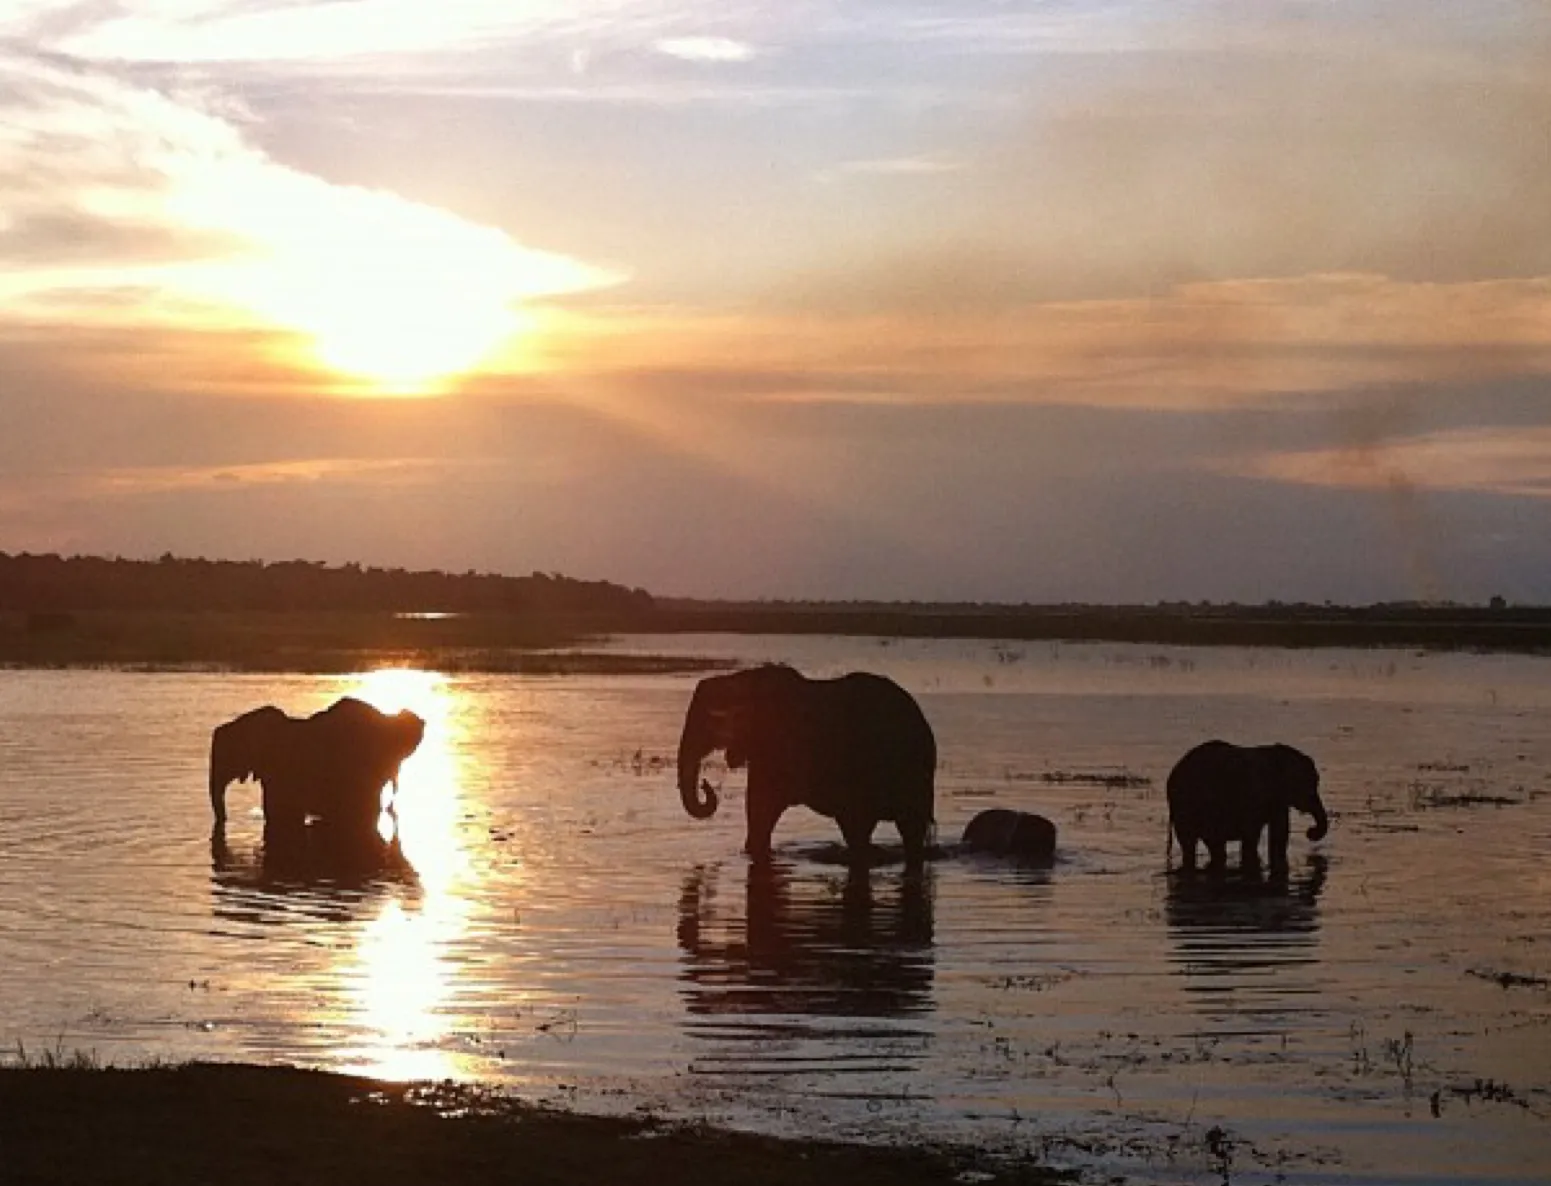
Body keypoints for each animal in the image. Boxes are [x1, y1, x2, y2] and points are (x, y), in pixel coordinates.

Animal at [676, 664, 937, 866]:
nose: (706, 785)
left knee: (867, 826)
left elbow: (762, 806)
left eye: (706, 722)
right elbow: (761, 811)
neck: (738, 678)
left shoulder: (775, 744)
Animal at [1166, 740, 1329, 876]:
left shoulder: (1276, 800)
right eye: (1311, 784)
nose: (1310, 832)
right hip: (1184, 806)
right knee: (1190, 845)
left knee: (1214, 847)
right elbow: (1253, 835)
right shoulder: (1255, 796)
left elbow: (1279, 833)